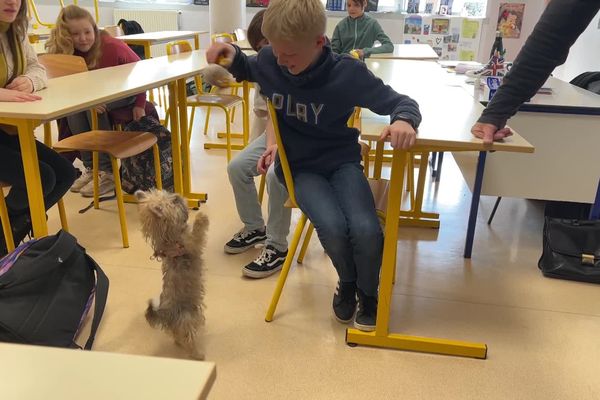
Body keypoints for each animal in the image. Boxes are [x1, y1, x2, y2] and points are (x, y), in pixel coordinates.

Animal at [136, 189, 209, 360]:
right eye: (173, 202)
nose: (178, 195)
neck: (169, 239)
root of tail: (165, 314)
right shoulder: (192, 243)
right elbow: (197, 232)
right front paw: (201, 217)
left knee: (176, 335)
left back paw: (179, 343)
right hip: (189, 317)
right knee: (188, 338)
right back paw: (198, 355)